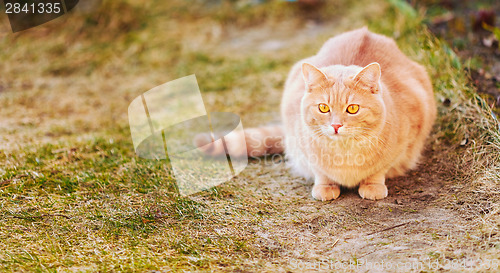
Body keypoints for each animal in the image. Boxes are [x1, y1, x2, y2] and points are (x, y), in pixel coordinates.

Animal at [195, 27, 434, 200]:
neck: (345, 154)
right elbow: (320, 171)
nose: (336, 125)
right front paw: (325, 186)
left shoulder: (406, 139)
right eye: (323, 108)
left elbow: (379, 170)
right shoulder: (302, 145)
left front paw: (372, 185)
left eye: (352, 109)